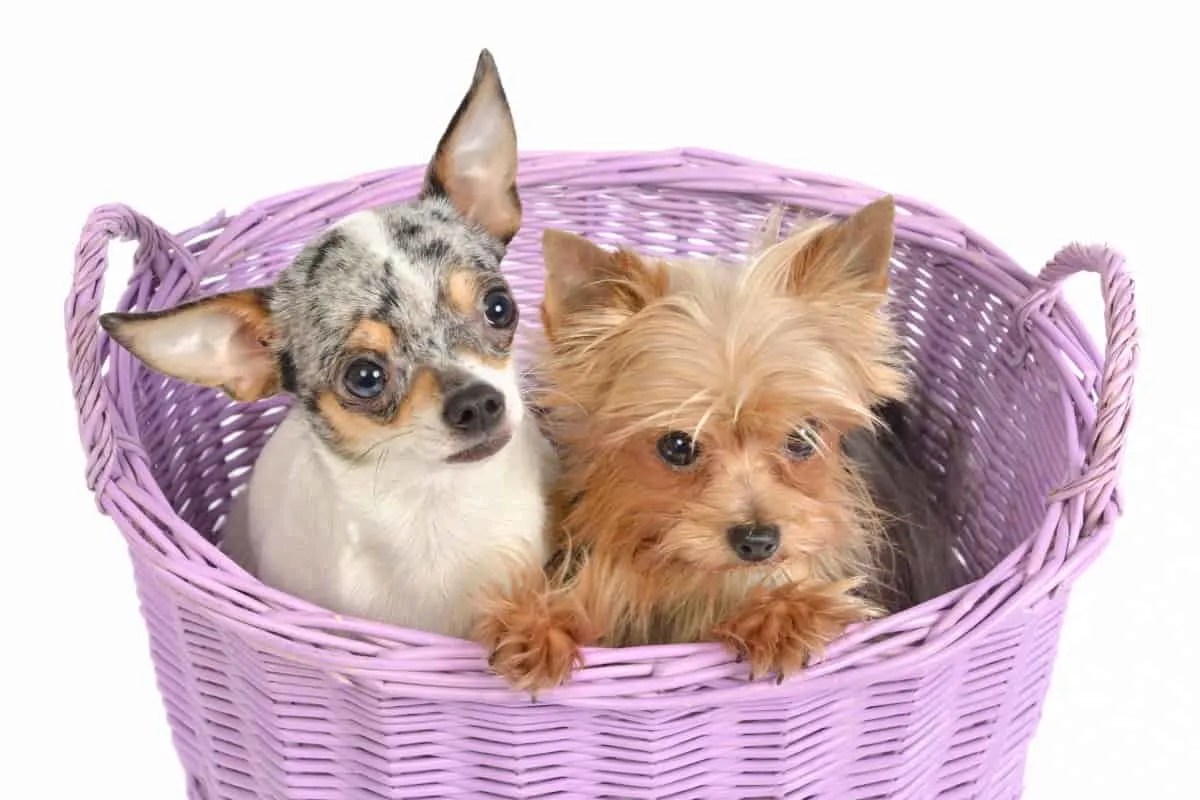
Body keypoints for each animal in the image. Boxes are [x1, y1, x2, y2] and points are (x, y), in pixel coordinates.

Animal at [480, 196, 945, 690]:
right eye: (678, 446)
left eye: (802, 438)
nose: (758, 541)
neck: (692, 576)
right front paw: (540, 626)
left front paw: (783, 614)